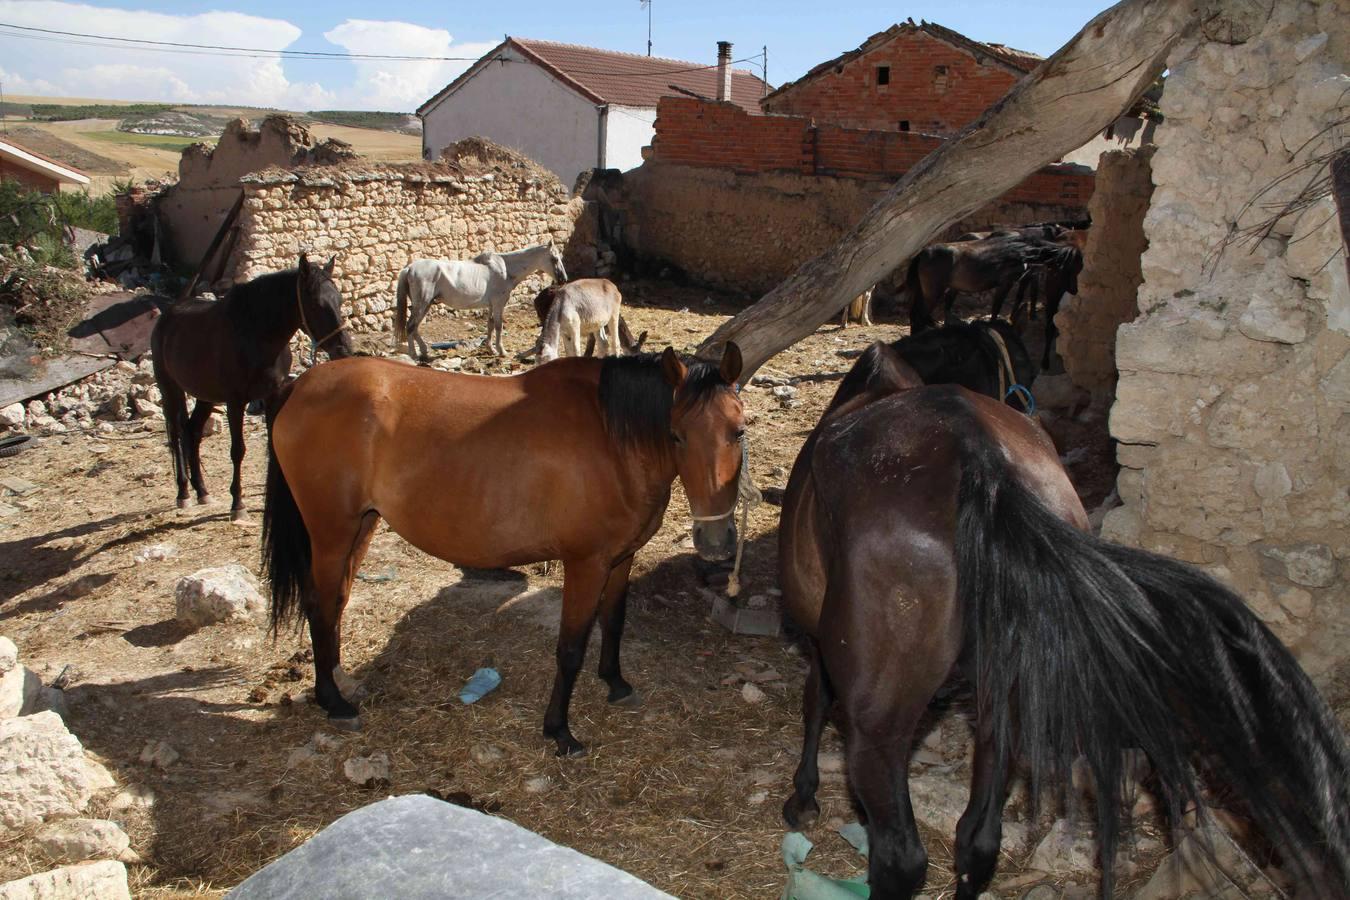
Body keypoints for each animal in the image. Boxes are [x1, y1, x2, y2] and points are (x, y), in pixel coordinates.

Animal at [150, 253, 351, 520]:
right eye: (317, 304)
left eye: (339, 300)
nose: (344, 350)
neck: (257, 335)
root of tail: (167, 315)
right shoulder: (235, 402)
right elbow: (238, 451)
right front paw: (238, 504)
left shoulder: (272, 395)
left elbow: (273, 445)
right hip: (170, 389)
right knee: (176, 434)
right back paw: (183, 493)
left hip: (206, 396)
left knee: (192, 432)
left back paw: (202, 491)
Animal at [260, 345, 750, 755]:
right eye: (676, 435)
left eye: (739, 432)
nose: (716, 544)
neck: (612, 438)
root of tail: (300, 385)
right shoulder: (586, 565)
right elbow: (570, 648)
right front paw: (559, 731)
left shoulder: (620, 560)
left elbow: (614, 622)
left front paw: (615, 683)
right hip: (331, 533)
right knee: (319, 605)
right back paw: (333, 702)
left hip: (361, 526)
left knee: (336, 602)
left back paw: (341, 685)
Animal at [394, 246, 567, 361]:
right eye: (554, 259)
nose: (563, 279)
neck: (505, 269)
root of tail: (409, 268)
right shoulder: (498, 304)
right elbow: (498, 326)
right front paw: (501, 351)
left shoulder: (491, 306)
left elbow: (490, 325)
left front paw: (491, 349)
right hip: (422, 304)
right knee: (411, 326)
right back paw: (414, 355)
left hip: (426, 304)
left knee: (415, 327)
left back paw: (423, 351)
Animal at [777, 350, 1344, 895]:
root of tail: (978, 461)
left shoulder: (820, 642)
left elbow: (815, 700)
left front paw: (803, 796)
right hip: (1006, 706)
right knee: (977, 842)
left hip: (880, 726)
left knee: (902, 858)